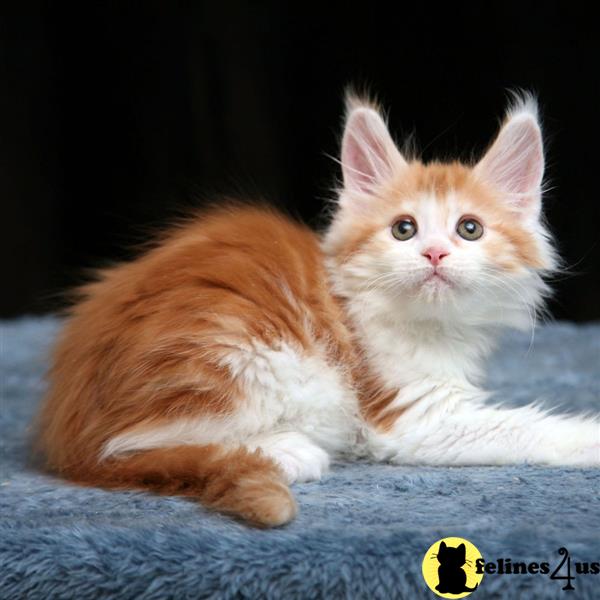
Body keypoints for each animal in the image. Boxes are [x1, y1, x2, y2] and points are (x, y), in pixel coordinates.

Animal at [36, 90, 596, 524]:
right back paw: (285, 449)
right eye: (404, 229)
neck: (427, 324)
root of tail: (68, 436)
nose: (435, 254)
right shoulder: (410, 417)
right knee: (130, 445)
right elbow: (524, 427)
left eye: (470, 228)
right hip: (251, 358)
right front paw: (588, 436)